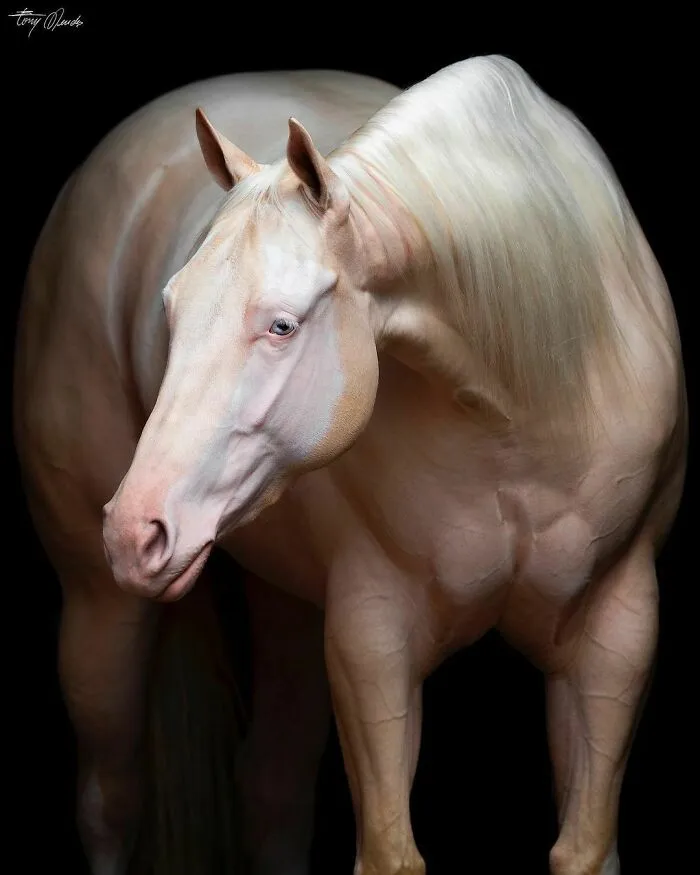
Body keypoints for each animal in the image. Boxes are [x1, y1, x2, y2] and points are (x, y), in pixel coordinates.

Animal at [13, 54, 686, 875]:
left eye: (281, 325)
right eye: (170, 308)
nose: (135, 531)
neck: (533, 400)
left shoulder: (616, 634)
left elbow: (584, 847)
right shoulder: (373, 642)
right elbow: (392, 851)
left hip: (287, 599)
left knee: (271, 786)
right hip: (99, 610)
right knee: (112, 802)